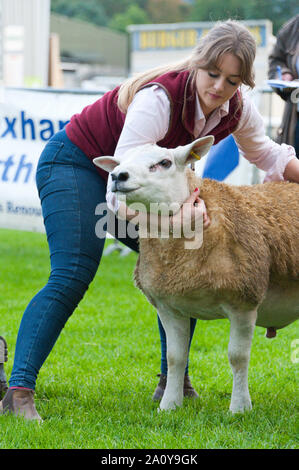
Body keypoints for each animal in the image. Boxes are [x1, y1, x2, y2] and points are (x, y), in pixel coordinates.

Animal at [94, 137, 299, 414]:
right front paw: (169, 405)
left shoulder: (244, 302)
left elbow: (238, 357)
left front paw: (239, 407)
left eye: (164, 162)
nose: (118, 176)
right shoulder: (169, 307)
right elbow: (175, 357)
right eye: (120, 162)